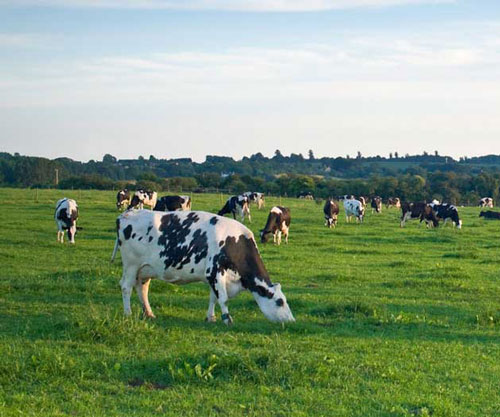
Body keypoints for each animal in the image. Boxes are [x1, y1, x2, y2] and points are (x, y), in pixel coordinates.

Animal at [111, 210, 294, 324]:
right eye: (280, 302)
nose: (292, 320)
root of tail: (125, 215)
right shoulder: (215, 271)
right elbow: (223, 298)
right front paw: (227, 319)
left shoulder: (215, 277)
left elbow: (213, 297)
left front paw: (211, 317)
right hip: (131, 265)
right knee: (126, 287)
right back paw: (128, 313)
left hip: (145, 269)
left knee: (142, 288)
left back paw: (149, 313)